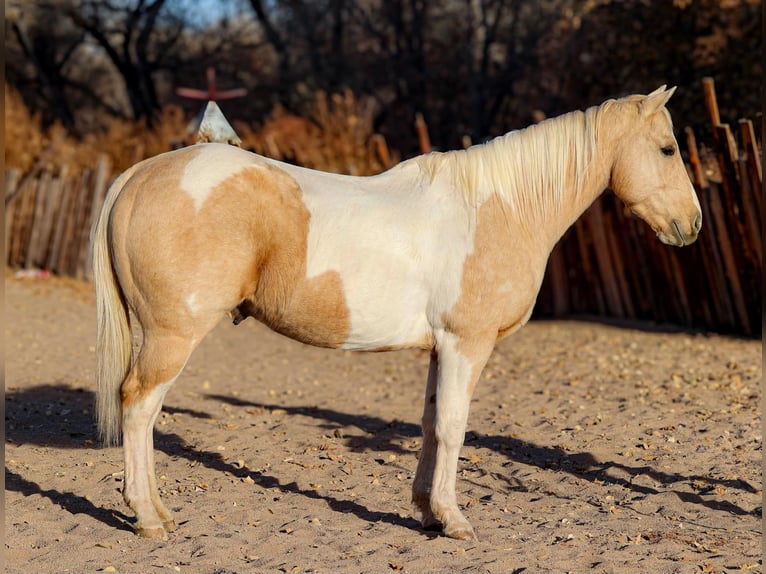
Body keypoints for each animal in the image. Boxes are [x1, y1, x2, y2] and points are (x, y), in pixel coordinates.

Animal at [92, 86, 701, 541]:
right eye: (668, 149)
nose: (691, 225)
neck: (498, 207)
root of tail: (141, 175)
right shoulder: (466, 344)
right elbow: (455, 428)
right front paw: (455, 521)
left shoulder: (440, 350)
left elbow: (431, 426)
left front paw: (428, 511)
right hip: (172, 337)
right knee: (139, 407)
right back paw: (148, 518)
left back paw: (156, 511)